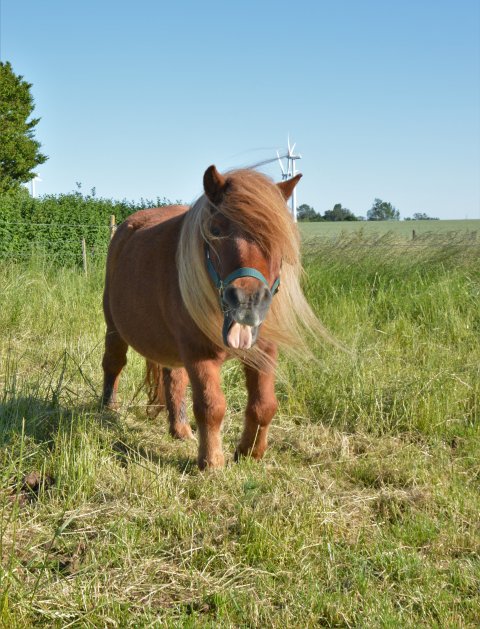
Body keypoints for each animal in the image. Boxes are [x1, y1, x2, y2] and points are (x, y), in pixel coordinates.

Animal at [101, 165, 329, 469]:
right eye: (216, 229)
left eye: (276, 237)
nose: (246, 301)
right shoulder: (199, 353)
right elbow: (211, 406)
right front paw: (211, 462)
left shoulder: (264, 351)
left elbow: (264, 405)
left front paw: (250, 452)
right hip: (114, 328)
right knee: (113, 364)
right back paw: (107, 409)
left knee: (174, 379)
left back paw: (180, 429)